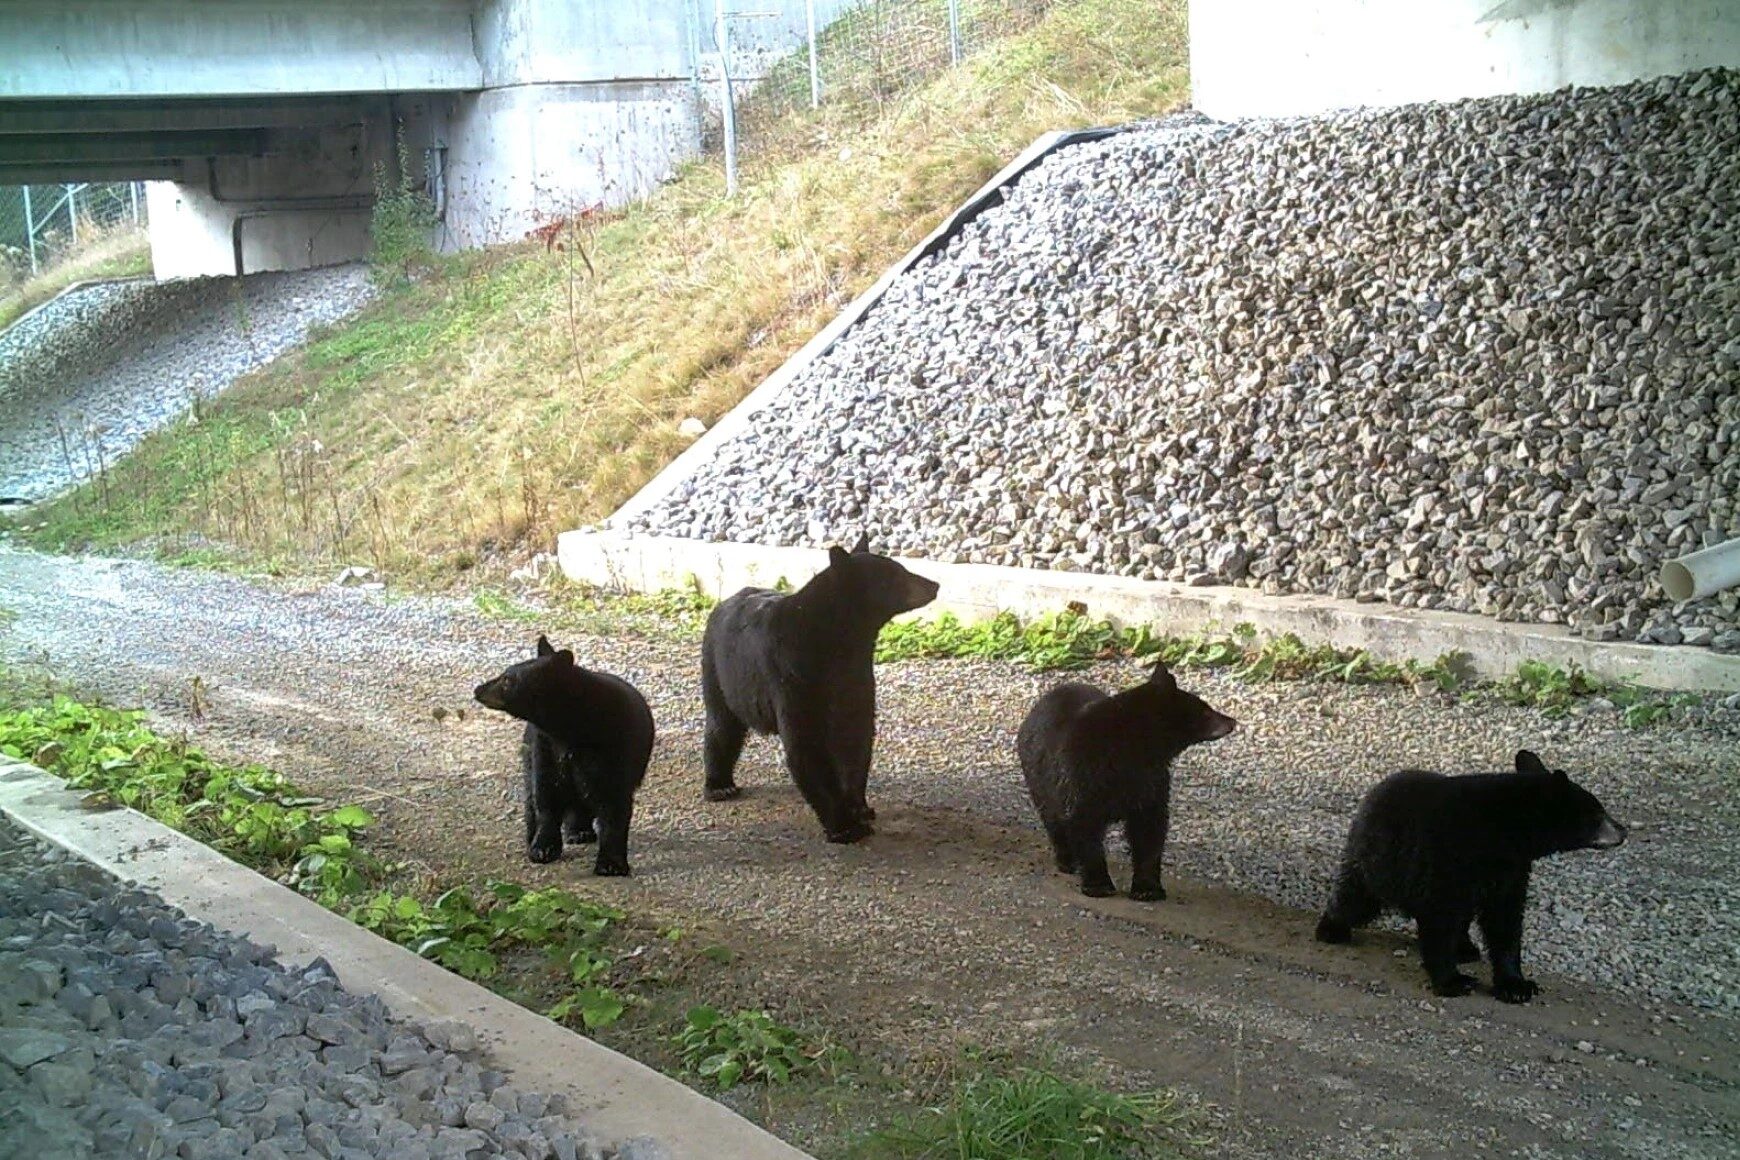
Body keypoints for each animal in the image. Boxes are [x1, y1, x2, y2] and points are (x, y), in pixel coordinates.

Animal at [473, 640, 654, 876]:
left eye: (507, 679)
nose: (478, 689)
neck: (569, 729)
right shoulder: (545, 747)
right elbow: (546, 795)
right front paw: (542, 848)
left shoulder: (614, 749)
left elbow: (614, 805)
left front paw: (611, 864)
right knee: (533, 792)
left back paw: (580, 831)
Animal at [696, 535, 939, 845]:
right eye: (896, 575)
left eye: (901, 568)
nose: (934, 585)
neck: (838, 642)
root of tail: (724, 602)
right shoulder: (793, 676)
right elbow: (805, 746)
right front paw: (844, 826)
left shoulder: (855, 678)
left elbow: (855, 739)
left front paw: (859, 807)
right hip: (719, 670)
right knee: (722, 726)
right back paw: (719, 786)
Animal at [1016, 660, 1245, 897]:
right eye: (1205, 710)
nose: (1232, 721)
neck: (1130, 749)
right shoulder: (1080, 775)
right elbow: (1084, 826)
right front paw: (1099, 884)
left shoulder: (1151, 781)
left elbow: (1149, 829)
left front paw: (1148, 888)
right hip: (1040, 783)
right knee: (1053, 820)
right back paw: (1066, 861)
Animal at [1315, 758, 1628, 1001]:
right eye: (1598, 813)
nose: (1623, 831)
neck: (1505, 834)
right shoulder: (1448, 856)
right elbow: (1441, 918)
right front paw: (1453, 982)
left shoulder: (1512, 870)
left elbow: (1506, 922)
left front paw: (1515, 985)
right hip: (1377, 860)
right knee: (1355, 896)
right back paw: (1332, 929)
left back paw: (1465, 948)